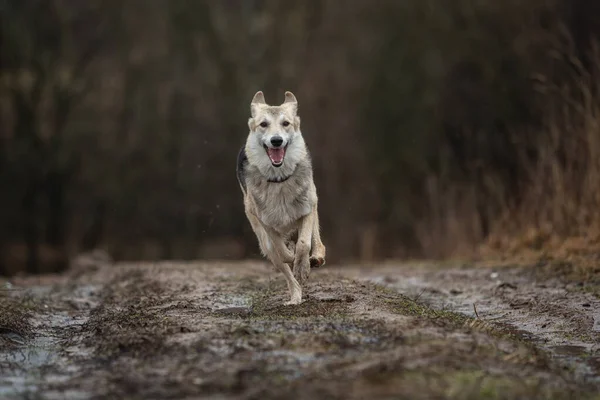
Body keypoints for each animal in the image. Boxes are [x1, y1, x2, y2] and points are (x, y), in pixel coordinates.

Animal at [237, 90, 326, 304]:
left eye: (286, 123)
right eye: (263, 124)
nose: (276, 140)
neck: (278, 179)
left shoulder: (307, 211)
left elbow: (303, 243)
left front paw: (303, 265)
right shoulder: (266, 223)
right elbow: (282, 250)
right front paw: (294, 259)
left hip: (313, 204)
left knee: (317, 242)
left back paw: (316, 257)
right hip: (264, 242)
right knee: (284, 269)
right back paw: (295, 297)